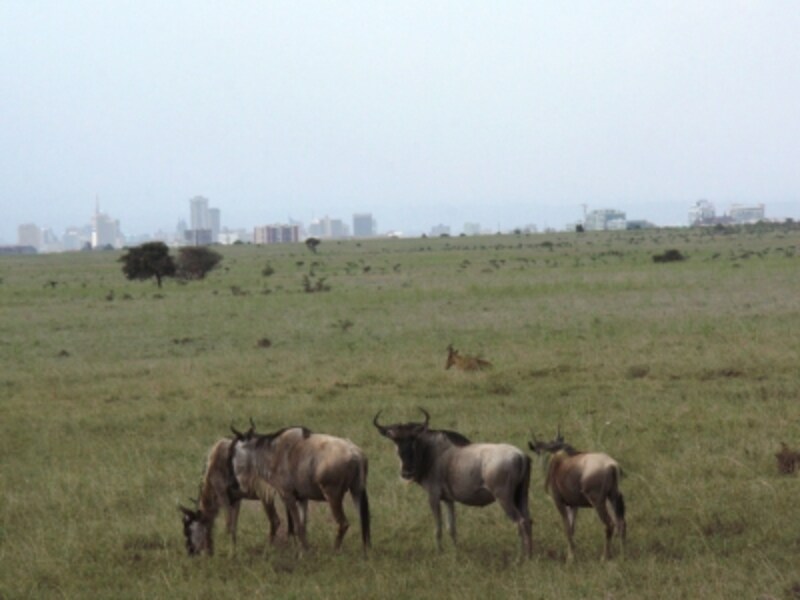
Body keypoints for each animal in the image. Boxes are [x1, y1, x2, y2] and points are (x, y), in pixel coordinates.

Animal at [180, 428, 290, 556]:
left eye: (187, 530)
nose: (190, 552)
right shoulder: (236, 499)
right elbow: (234, 526)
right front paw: (234, 549)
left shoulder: (222, 495)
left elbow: (228, 524)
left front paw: (230, 554)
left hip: (266, 495)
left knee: (275, 520)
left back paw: (267, 550)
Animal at [528, 432, 628, 564]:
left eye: (538, 451)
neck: (557, 462)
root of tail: (611, 465)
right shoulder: (573, 505)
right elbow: (572, 528)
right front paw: (572, 554)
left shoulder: (559, 502)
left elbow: (567, 528)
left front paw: (570, 558)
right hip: (613, 497)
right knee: (621, 523)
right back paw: (623, 556)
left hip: (598, 502)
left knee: (609, 524)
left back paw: (604, 557)